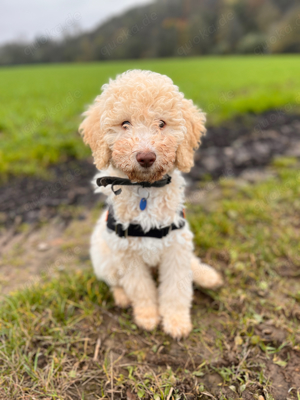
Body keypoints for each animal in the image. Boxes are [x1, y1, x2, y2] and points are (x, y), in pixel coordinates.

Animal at [79, 69, 223, 338]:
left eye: (162, 124)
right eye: (125, 124)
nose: (146, 157)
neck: (145, 189)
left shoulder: (175, 247)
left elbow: (177, 287)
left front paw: (176, 321)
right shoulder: (128, 254)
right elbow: (140, 288)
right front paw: (147, 316)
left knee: (191, 263)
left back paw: (206, 275)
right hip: (105, 261)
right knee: (115, 282)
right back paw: (122, 298)